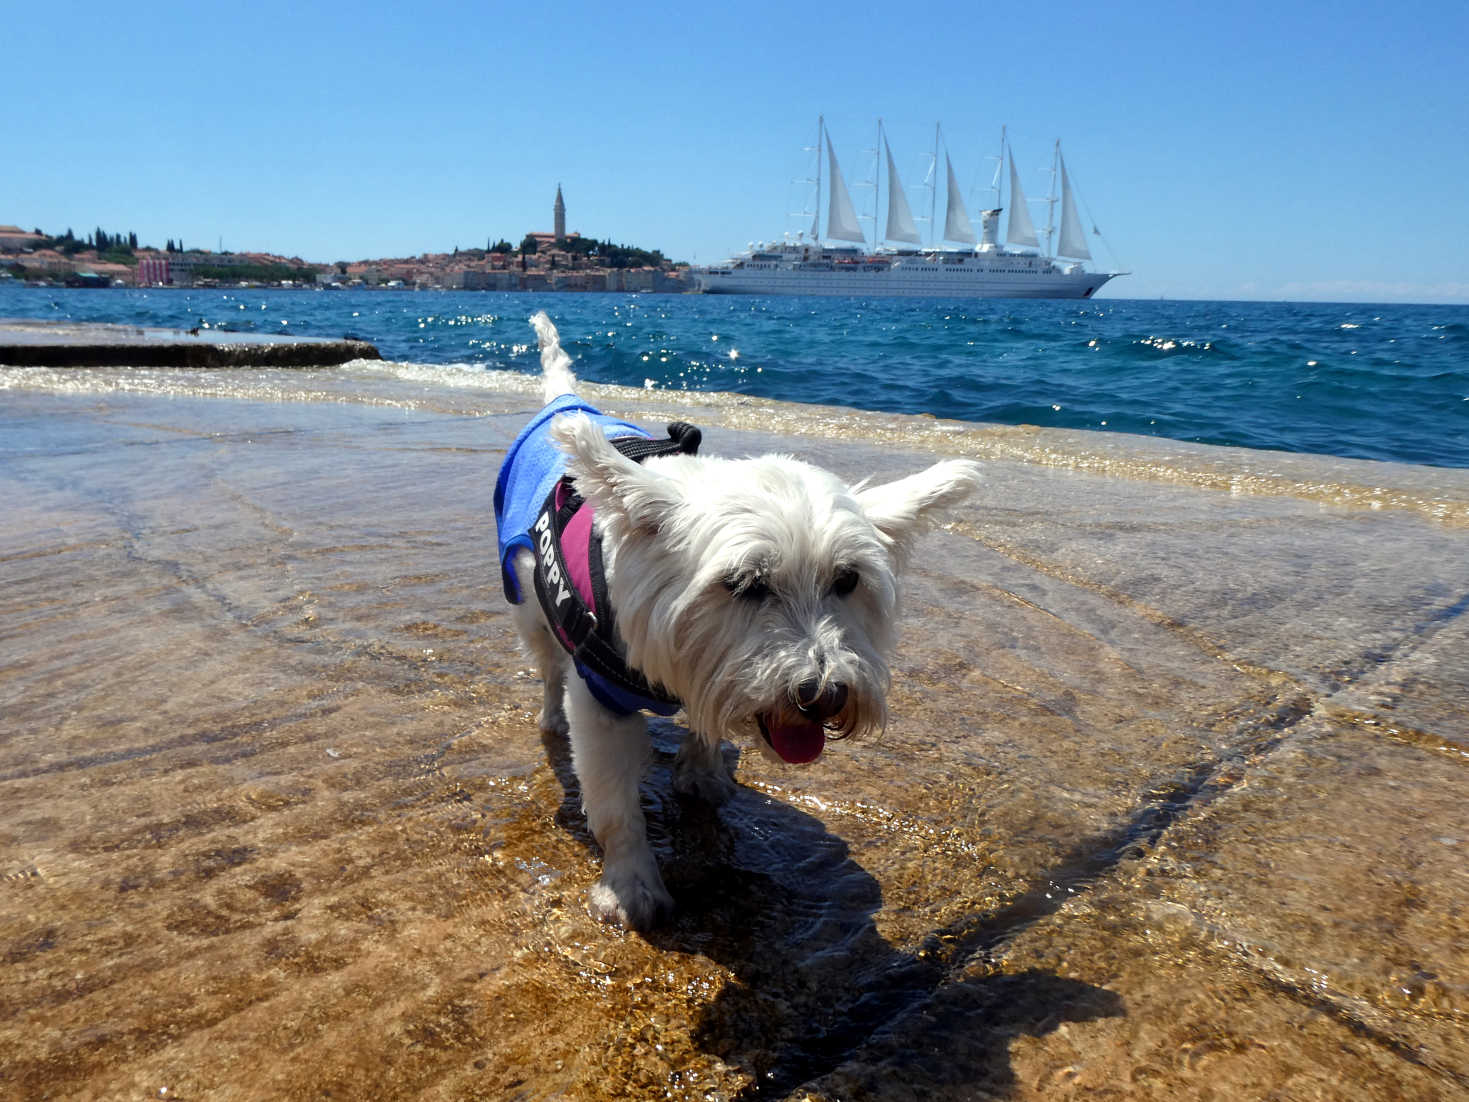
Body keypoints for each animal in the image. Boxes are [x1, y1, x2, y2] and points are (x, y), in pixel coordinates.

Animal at [496, 312, 987, 934]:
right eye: (744, 584)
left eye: (847, 580)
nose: (824, 696)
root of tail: (567, 402)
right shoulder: (601, 701)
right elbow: (614, 802)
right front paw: (631, 885)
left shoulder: (714, 673)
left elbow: (708, 716)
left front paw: (702, 771)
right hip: (528, 605)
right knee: (546, 667)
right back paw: (550, 718)